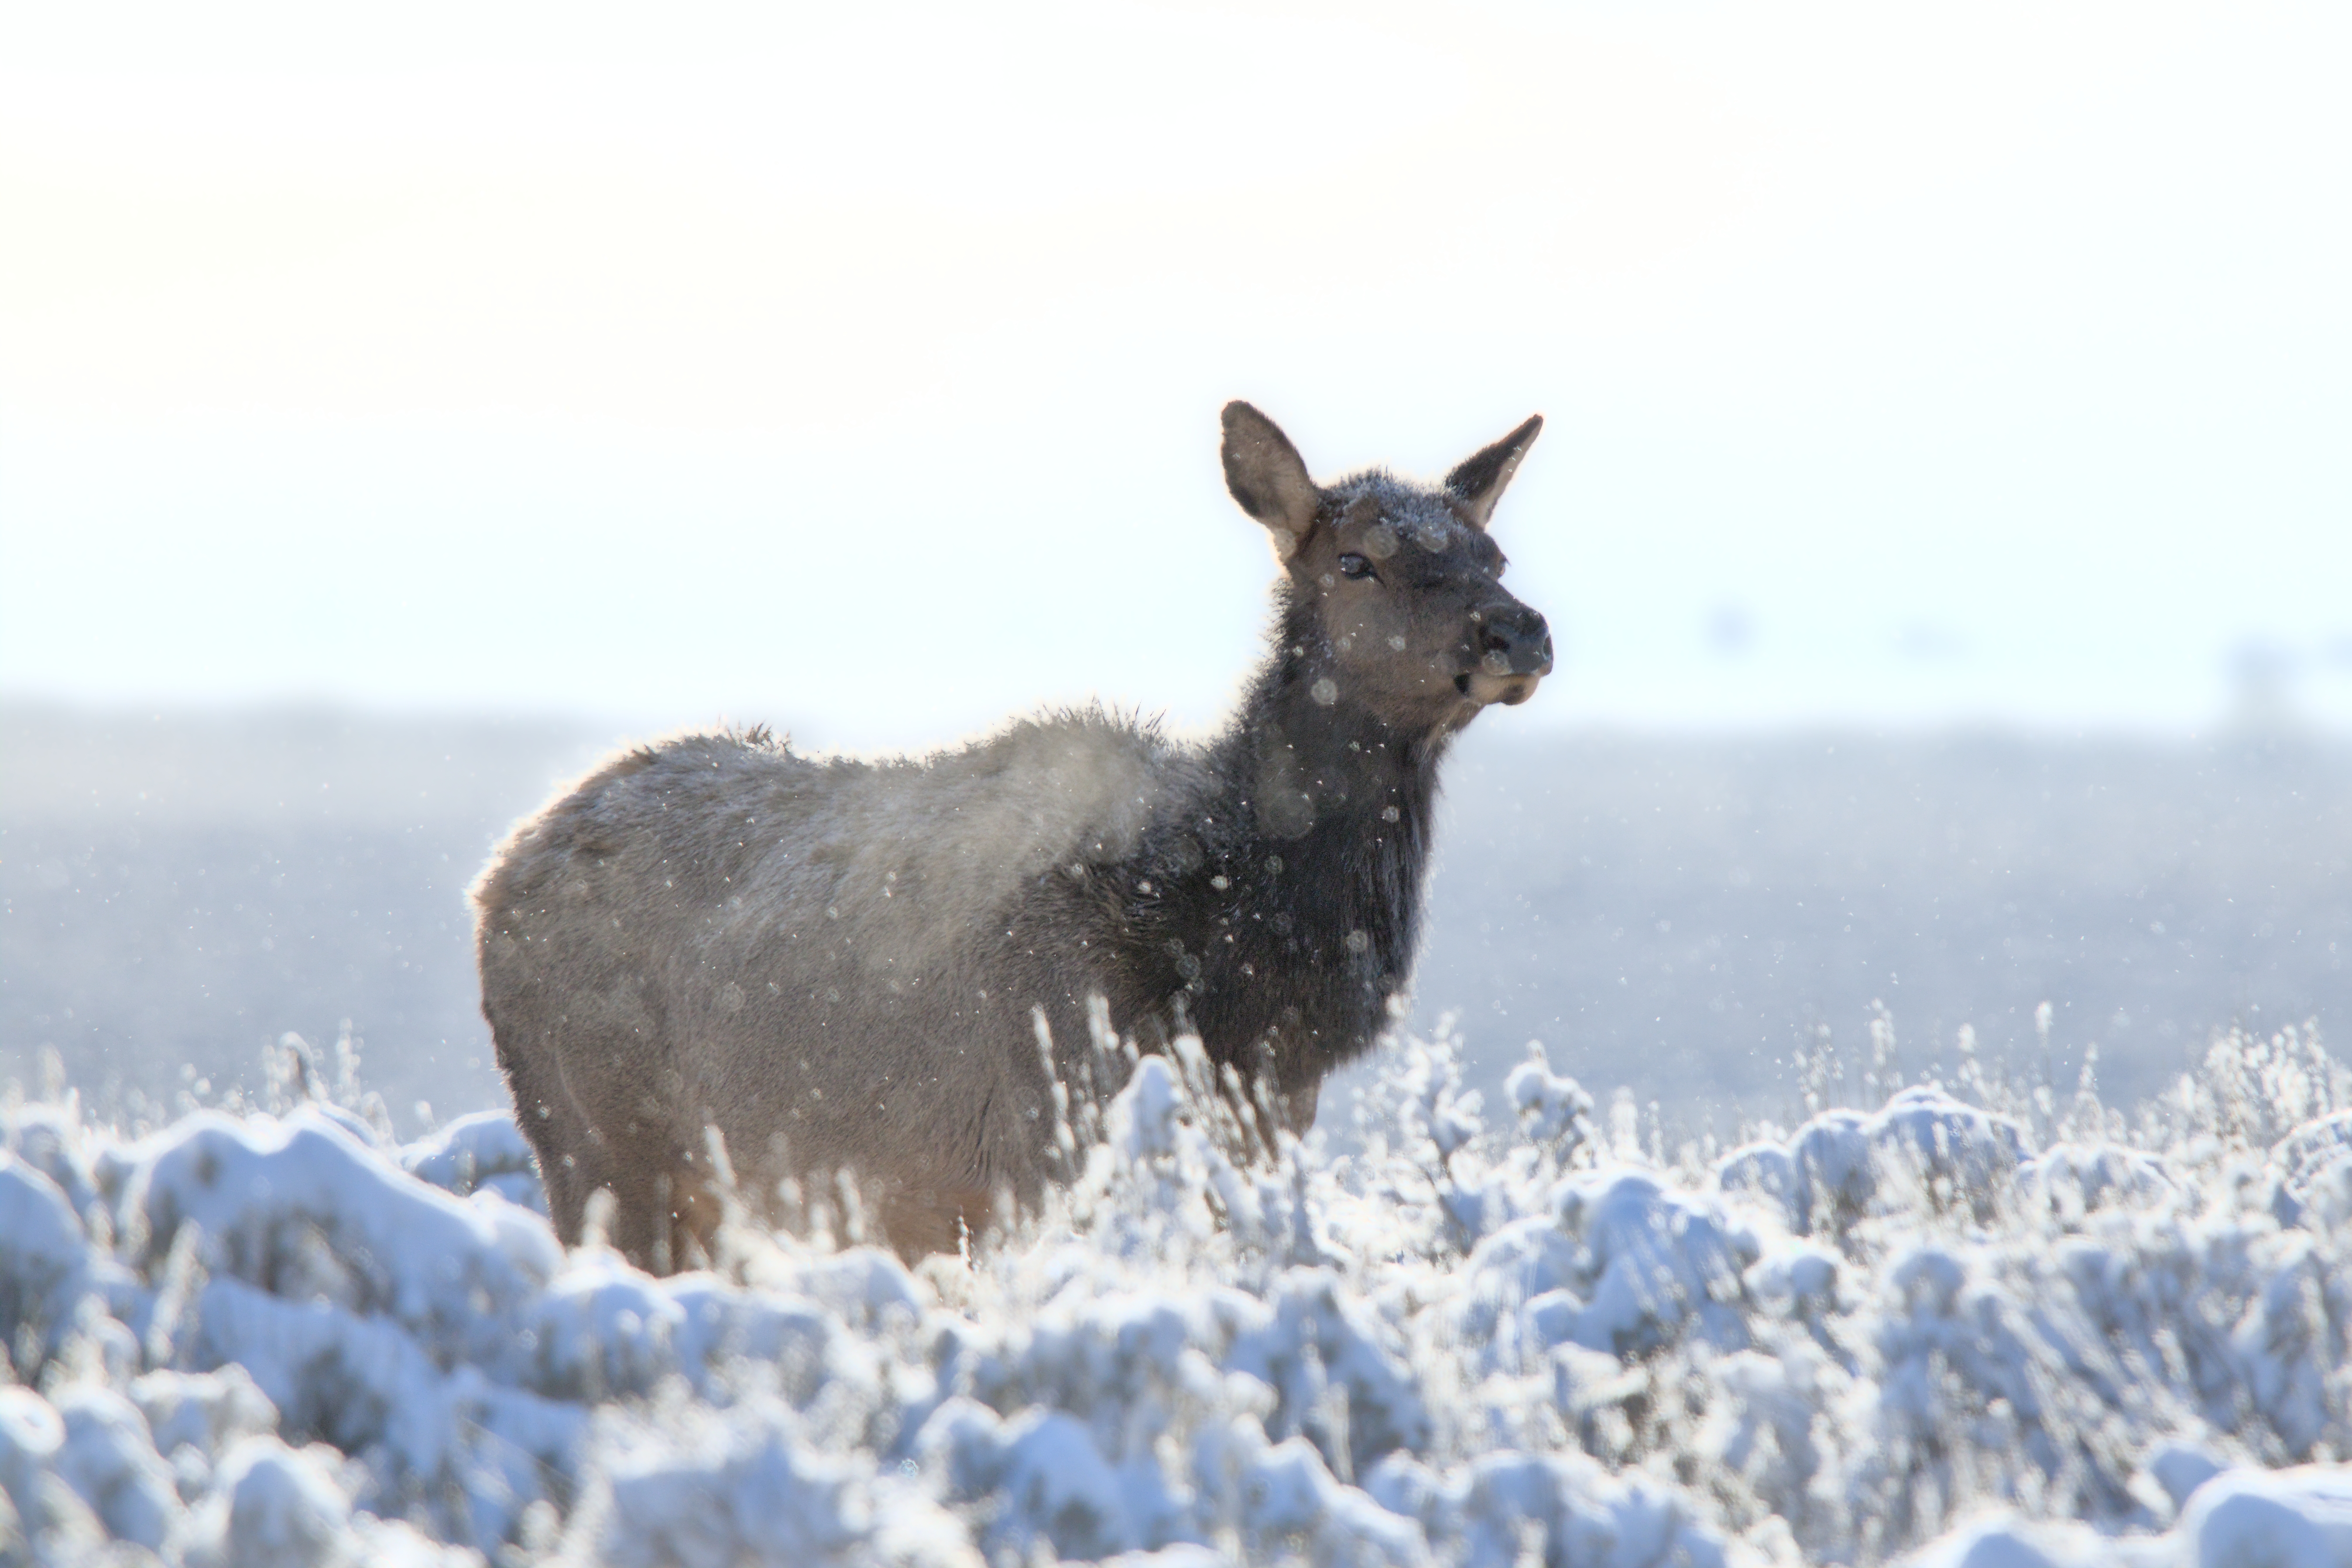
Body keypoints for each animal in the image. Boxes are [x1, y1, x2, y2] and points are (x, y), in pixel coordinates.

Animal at [472, 403, 1553, 1271]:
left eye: (1492, 556)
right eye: (1356, 560)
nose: (1519, 630)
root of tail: (493, 878)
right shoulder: (1040, 1142)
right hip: (596, 1147)